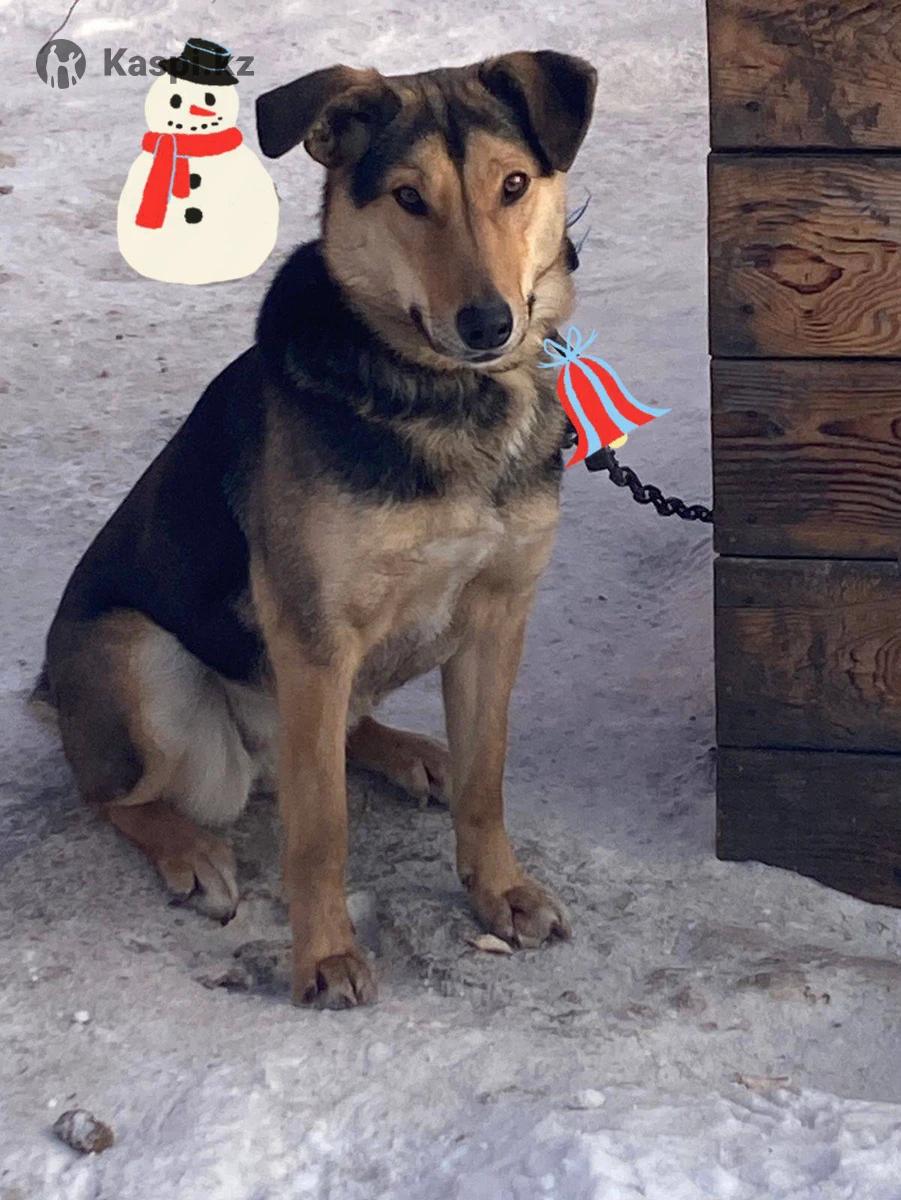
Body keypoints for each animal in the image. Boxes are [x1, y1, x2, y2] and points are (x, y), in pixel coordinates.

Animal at [38, 50, 597, 1008]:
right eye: (408, 197)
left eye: (514, 185)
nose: (488, 324)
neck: (448, 402)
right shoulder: (312, 631)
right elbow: (319, 826)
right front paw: (325, 955)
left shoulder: (495, 616)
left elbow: (485, 779)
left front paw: (500, 891)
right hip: (145, 666)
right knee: (113, 794)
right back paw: (189, 851)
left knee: (347, 733)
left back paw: (406, 751)